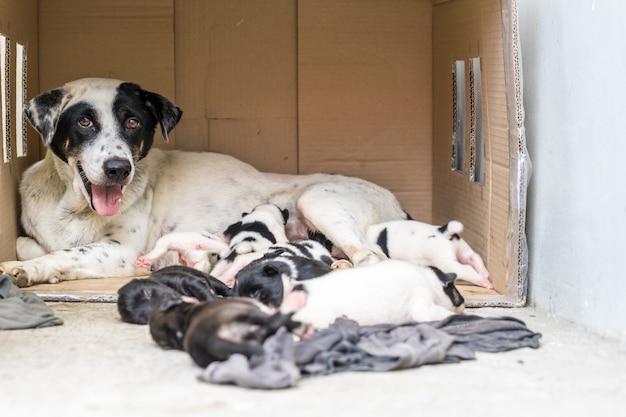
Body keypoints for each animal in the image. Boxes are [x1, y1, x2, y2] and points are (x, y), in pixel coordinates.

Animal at [0, 77, 404, 286]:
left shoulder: (122, 252)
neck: (74, 208)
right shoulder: (33, 233)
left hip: (317, 200)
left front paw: (28, 271)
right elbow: (29, 244)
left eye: (133, 122)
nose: (119, 169)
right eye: (84, 122)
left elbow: (62, 253)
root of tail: (400, 207)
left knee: (372, 257)